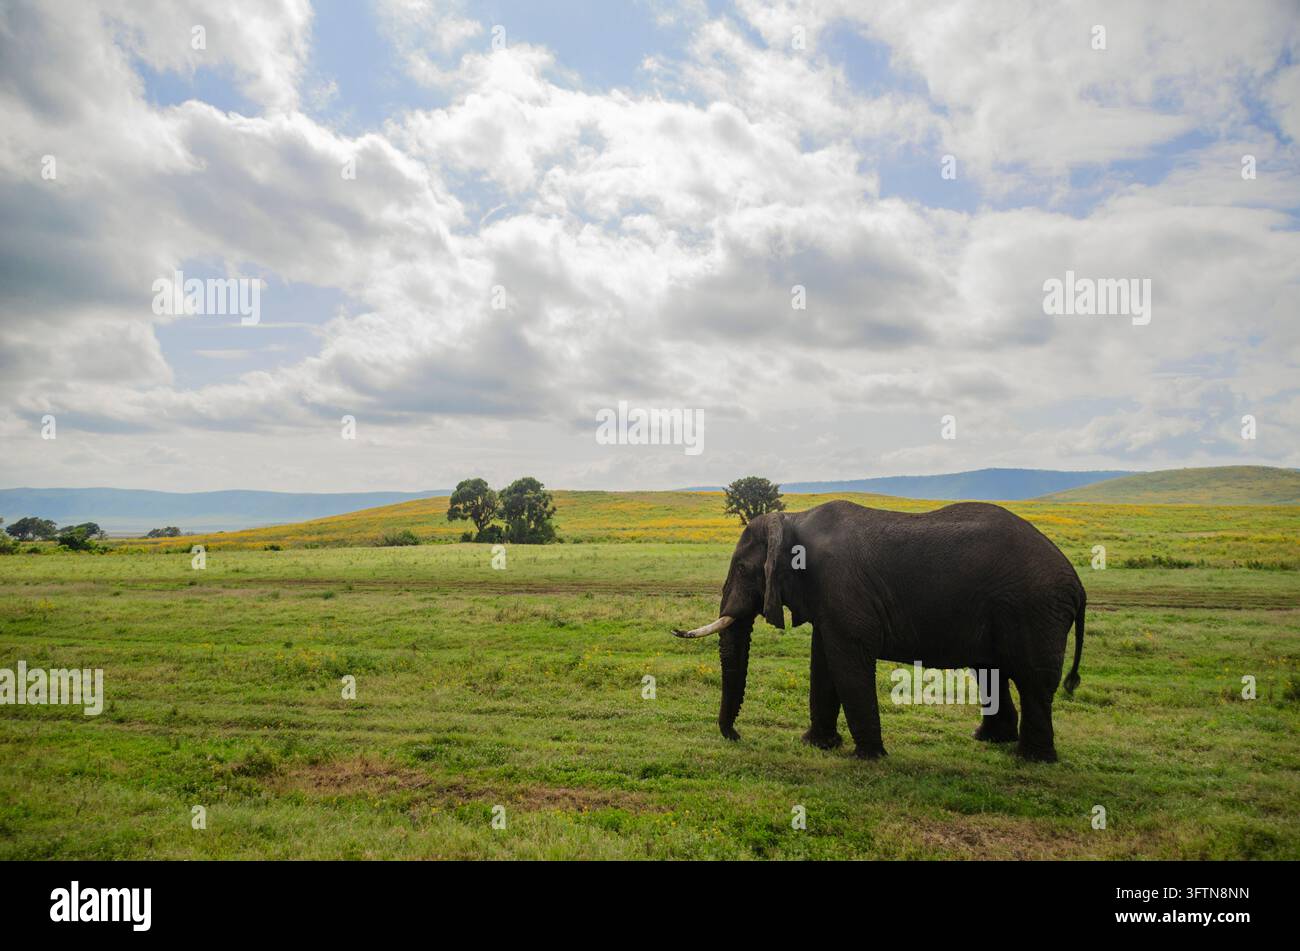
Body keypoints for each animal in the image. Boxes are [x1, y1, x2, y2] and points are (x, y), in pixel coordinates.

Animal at [671, 500, 1086, 762]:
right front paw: (816, 745)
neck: (792, 519)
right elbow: (823, 663)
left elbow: (847, 662)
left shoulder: (840, 586)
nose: (736, 736)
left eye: (743, 569)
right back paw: (988, 740)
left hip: (1033, 610)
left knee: (1032, 681)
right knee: (992, 671)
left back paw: (1031, 759)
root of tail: (1077, 585)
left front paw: (867, 757)